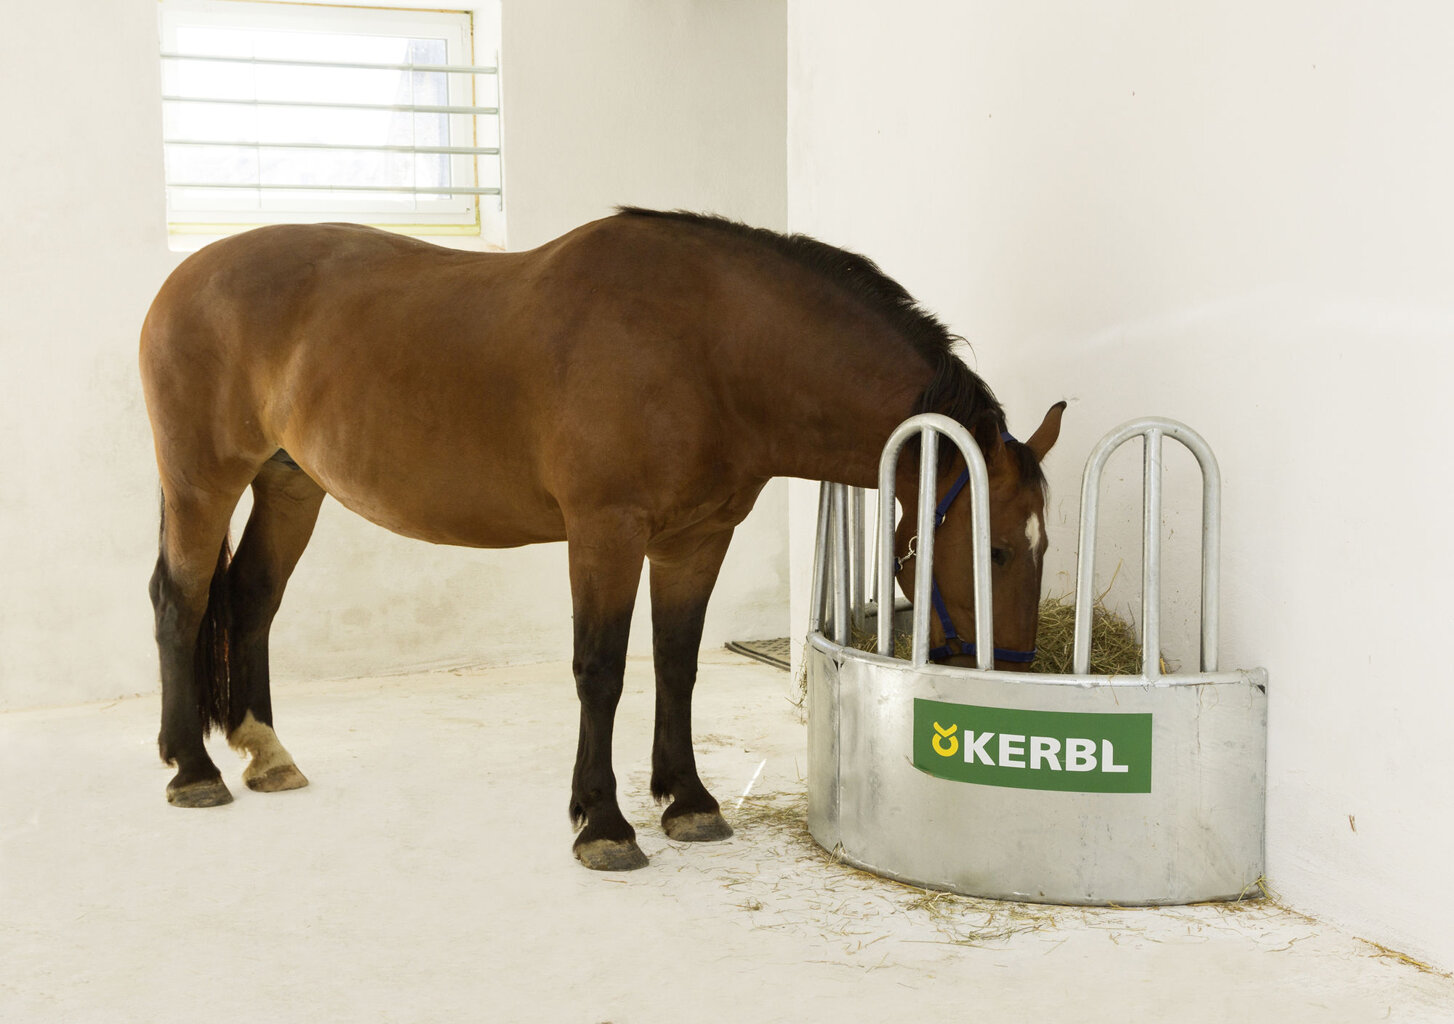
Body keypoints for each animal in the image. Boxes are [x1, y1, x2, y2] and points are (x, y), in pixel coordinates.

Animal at [139, 208, 1065, 871]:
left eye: (1042, 545)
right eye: (994, 550)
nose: (1021, 670)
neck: (709, 347)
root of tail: (184, 277)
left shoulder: (696, 539)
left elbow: (678, 663)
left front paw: (688, 800)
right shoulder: (604, 533)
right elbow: (603, 670)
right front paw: (604, 824)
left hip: (290, 485)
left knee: (252, 600)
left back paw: (264, 751)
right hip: (202, 484)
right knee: (180, 603)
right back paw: (192, 770)